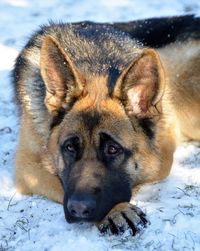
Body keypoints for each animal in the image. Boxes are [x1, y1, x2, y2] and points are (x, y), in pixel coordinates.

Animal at [12, 15, 200, 235]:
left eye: (113, 149)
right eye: (69, 147)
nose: (78, 209)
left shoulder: (163, 153)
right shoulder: (27, 167)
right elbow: (60, 182)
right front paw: (117, 211)